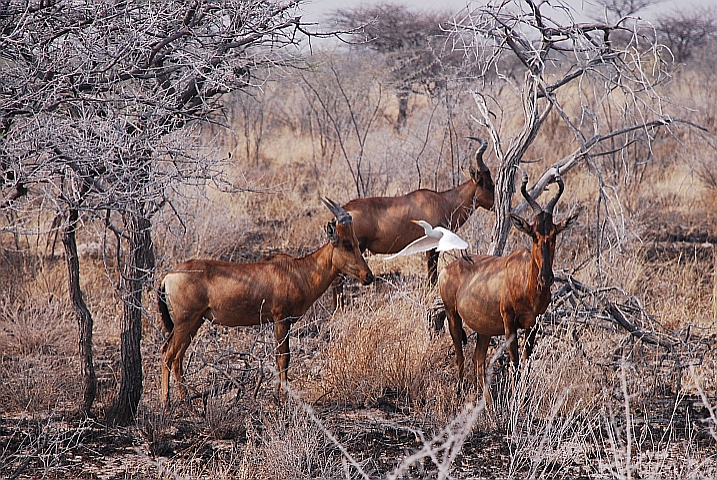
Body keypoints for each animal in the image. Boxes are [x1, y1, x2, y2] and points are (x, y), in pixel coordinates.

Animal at [154, 197, 372, 406]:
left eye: (356, 241)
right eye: (346, 243)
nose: (368, 276)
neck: (298, 270)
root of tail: (169, 275)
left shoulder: (283, 321)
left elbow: (282, 358)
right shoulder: (280, 319)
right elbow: (283, 357)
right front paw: (281, 399)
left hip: (195, 322)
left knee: (177, 357)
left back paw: (187, 403)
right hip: (185, 321)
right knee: (167, 353)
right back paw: (166, 405)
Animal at [440, 171, 580, 396]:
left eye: (554, 234)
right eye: (533, 234)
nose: (546, 277)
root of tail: (447, 268)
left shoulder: (533, 324)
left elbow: (526, 364)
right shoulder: (509, 323)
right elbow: (514, 365)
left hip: (484, 329)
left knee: (478, 360)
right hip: (452, 315)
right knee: (460, 356)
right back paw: (460, 394)